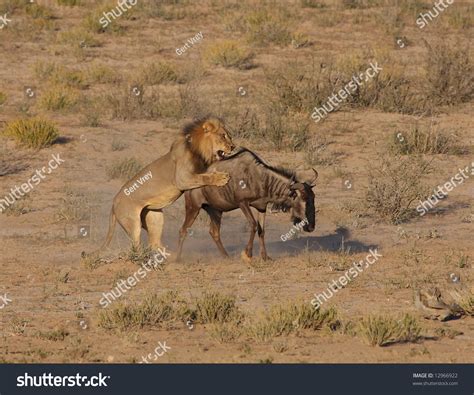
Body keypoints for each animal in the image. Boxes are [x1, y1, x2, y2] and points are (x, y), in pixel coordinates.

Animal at [99, 117, 235, 252]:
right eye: (223, 136)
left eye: (229, 136)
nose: (233, 147)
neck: (199, 151)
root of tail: (114, 203)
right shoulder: (182, 178)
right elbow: (203, 177)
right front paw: (221, 177)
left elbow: (204, 174)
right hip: (133, 223)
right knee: (136, 246)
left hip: (155, 217)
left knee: (155, 243)